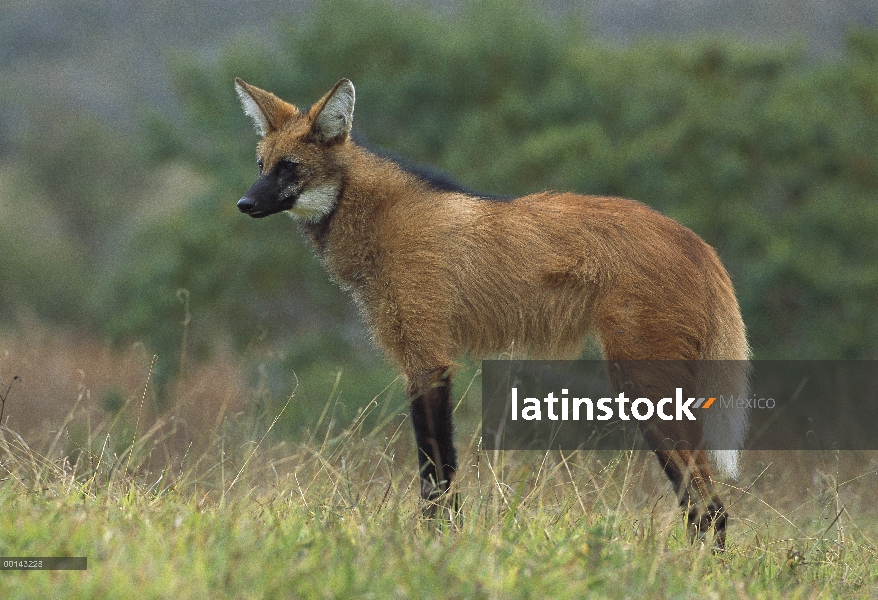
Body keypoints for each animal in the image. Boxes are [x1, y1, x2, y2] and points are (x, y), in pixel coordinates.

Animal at [232, 76, 748, 548]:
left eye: (289, 168)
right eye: (261, 166)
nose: (244, 202)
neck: (376, 219)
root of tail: (698, 242)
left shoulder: (427, 359)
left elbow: (436, 472)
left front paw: (437, 545)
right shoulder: (425, 357)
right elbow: (439, 471)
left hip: (640, 383)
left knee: (711, 506)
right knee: (704, 504)